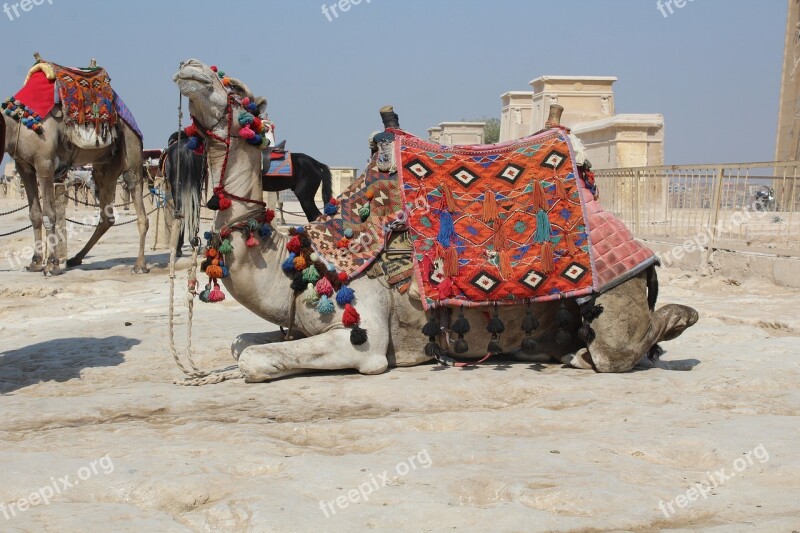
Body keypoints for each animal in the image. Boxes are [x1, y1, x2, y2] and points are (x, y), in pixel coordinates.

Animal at [2, 57, 148, 274]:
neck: (17, 123)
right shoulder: (24, 166)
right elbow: (34, 214)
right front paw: (35, 262)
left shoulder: (44, 164)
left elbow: (49, 214)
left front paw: (52, 265)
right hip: (104, 166)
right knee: (106, 215)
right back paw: (75, 258)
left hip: (131, 144)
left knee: (135, 189)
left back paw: (140, 265)